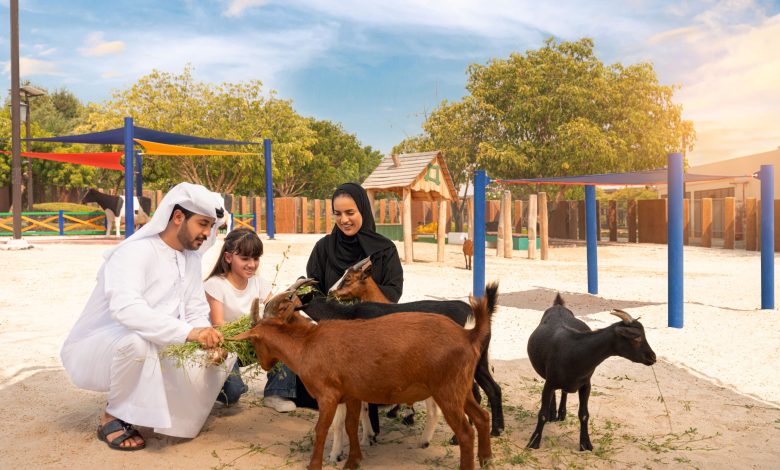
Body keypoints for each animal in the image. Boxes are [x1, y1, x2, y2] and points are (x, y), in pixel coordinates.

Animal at [524, 294, 660, 452]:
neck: (575, 351)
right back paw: (553, 414)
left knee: (564, 391)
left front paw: (585, 444)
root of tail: (558, 306)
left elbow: (584, 415)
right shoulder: (550, 383)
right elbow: (543, 414)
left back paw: (561, 413)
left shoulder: (585, 385)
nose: (652, 357)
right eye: (636, 338)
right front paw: (534, 441)